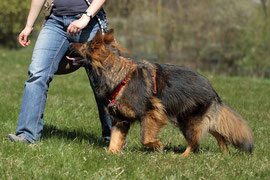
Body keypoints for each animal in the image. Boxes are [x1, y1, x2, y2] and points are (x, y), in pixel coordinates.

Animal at [67, 29, 253, 156]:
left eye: (84, 45)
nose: (69, 42)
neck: (118, 76)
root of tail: (212, 89)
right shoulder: (120, 121)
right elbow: (114, 140)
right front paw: (110, 155)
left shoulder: (151, 113)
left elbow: (144, 138)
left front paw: (158, 146)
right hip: (197, 119)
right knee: (216, 132)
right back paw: (224, 152)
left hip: (186, 120)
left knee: (195, 142)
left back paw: (182, 156)